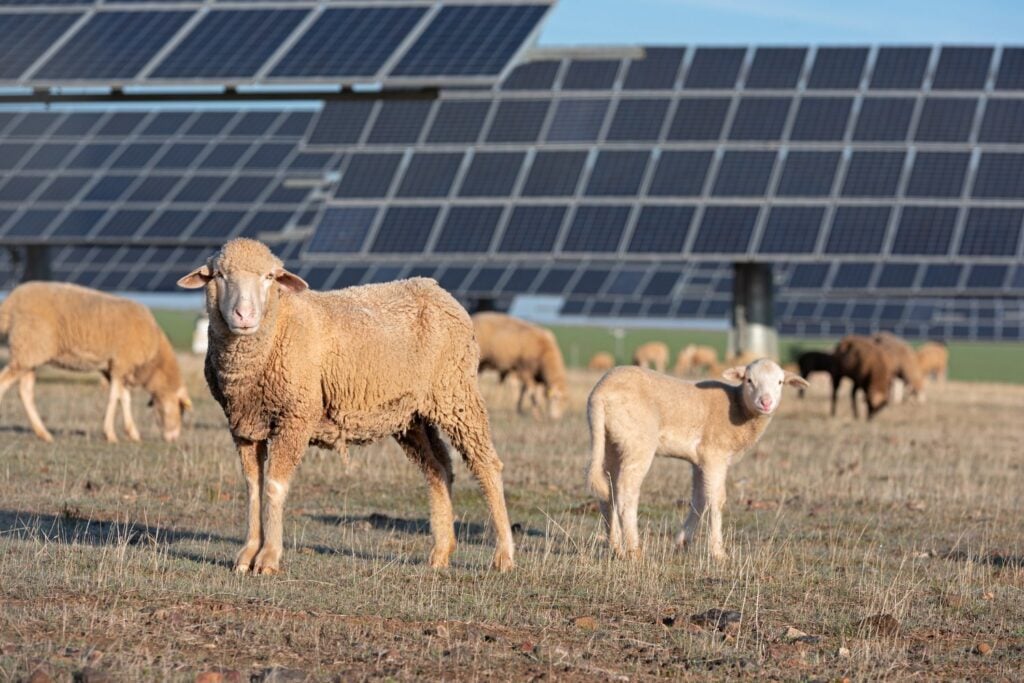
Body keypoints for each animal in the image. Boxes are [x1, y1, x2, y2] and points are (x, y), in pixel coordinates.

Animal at [0, 281, 191, 443]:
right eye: (181, 410)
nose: (174, 438)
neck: (155, 360)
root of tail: (10, 302)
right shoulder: (121, 363)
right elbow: (115, 398)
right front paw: (111, 435)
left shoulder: (117, 368)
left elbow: (124, 398)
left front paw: (133, 434)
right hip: (27, 348)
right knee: (4, 383)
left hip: (29, 355)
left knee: (25, 392)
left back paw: (44, 434)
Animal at [178, 238, 515, 575]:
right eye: (219, 275)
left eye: (270, 277)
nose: (244, 316)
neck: (276, 328)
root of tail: (436, 289)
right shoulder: (244, 425)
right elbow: (252, 488)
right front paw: (247, 555)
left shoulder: (296, 416)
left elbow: (274, 486)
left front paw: (268, 559)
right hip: (411, 415)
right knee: (438, 468)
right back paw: (441, 552)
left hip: (456, 393)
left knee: (486, 465)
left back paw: (504, 555)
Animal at [587, 359, 807, 561]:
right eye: (749, 380)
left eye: (780, 382)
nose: (766, 402)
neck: (738, 408)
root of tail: (600, 393)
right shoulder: (714, 455)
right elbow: (717, 500)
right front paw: (718, 552)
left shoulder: (699, 461)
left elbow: (699, 499)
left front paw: (682, 541)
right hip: (638, 440)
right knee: (626, 493)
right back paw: (634, 551)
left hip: (612, 441)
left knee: (608, 492)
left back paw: (616, 547)